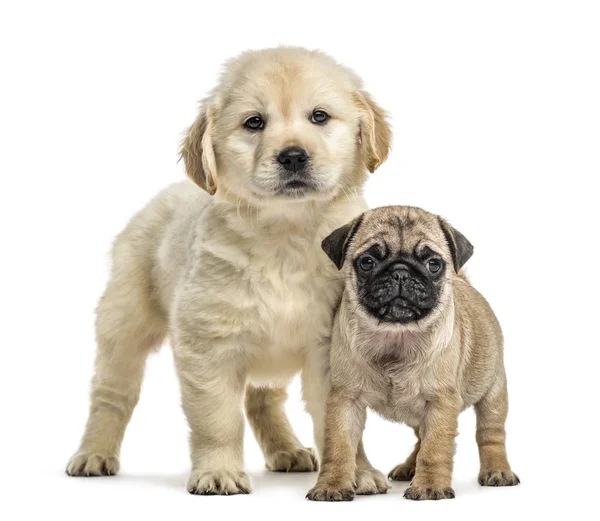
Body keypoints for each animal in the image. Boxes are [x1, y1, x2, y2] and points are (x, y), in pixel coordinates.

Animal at [67, 47, 394, 496]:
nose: (293, 155)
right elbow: (218, 419)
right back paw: (94, 454)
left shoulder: (333, 348)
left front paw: (356, 472)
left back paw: (287, 450)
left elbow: (341, 422)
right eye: (254, 122)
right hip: (124, 323)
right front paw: (218, 471)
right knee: (111, 394)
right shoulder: (209, 346)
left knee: (262, 399)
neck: (285, 237)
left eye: (319, 117)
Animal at [308, 204, 516, 500]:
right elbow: (339, 446)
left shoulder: (441, 403)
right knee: (420, 437)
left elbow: (435, 449)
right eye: (367, 262)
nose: (400, 272)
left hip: (493, 391)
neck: (396, 336)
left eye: (433, 264)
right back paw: (409, 467)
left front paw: (430, 486)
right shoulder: (346, 399)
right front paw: (332, 484)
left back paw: (496, 470)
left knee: (490, 434)